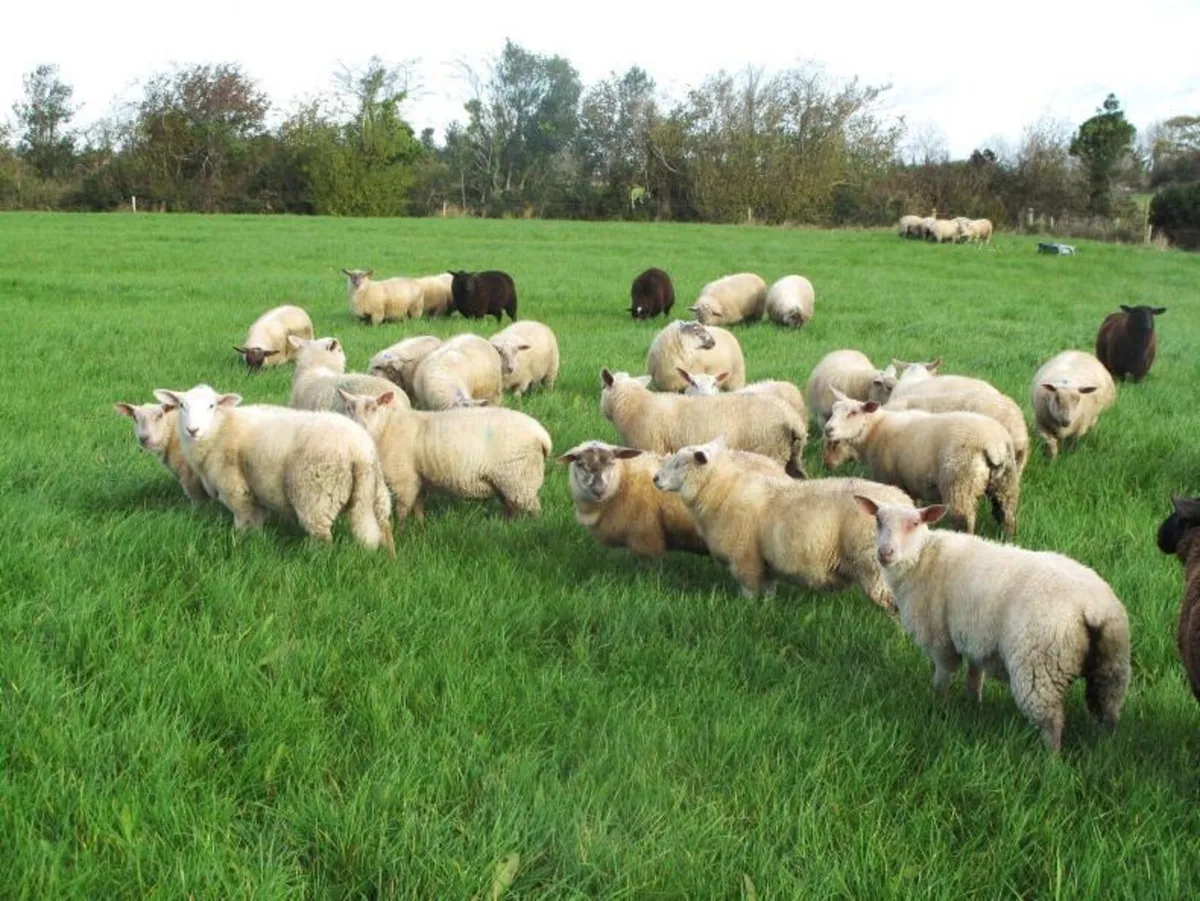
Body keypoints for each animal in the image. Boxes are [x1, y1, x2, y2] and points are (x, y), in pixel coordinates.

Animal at [153, 384, 394, 553]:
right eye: (182, 405)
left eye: (211, 406)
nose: (192, 430)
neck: (220, 428)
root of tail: (359, 448)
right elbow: (258, 520)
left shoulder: (236, 490)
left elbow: (244, 524)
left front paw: (241, 543)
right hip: (376, 493)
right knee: (383, 528)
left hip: (315, 495)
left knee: (323, 539)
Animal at [339, 388, 551, 521]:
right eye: (348, 408)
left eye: (373, 407)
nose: (357, 426)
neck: (386, 427)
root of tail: (541, 434)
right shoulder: (417, 479)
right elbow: (418, 507)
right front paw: (420, 528)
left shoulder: (404, 480)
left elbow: (402, 512)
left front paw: (402, 534)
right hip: (508, 481)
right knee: (511, 507)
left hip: (520, 478)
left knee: (534, 511)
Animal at [652, 437, 913, 608]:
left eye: (679, 464)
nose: (654, 478)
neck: (721, 492)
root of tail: (906, 504)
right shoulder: (766, 563)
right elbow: (768, 592)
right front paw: (766, 611)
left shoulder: (745, 560)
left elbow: (749, 594)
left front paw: (747, 611)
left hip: (876, 567)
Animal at [824, 392, 1021, 536]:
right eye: (834, 410)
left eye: (853, 413)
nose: (828, 429)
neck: (875, 430)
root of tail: (993, 443)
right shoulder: (911, 483)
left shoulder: (891, 479)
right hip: (1006, 483)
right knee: (1007, 516)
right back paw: (1006, 539)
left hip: (959, 483)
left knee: (965, 521)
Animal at [854, 497, 1131, 751]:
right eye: (878, 520)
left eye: (914, 523)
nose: (885, 553)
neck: (922, 558)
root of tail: (1093, 607)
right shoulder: (977, 639)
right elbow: (974, 678)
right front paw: (973, 707)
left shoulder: (939, 637)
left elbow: (942, 676)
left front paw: (937, 704)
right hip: (1111, 664)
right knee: (1109, 712)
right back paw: (1105, 748)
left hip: (1039, 667)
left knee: (1051, 722)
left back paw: (1050, 761)